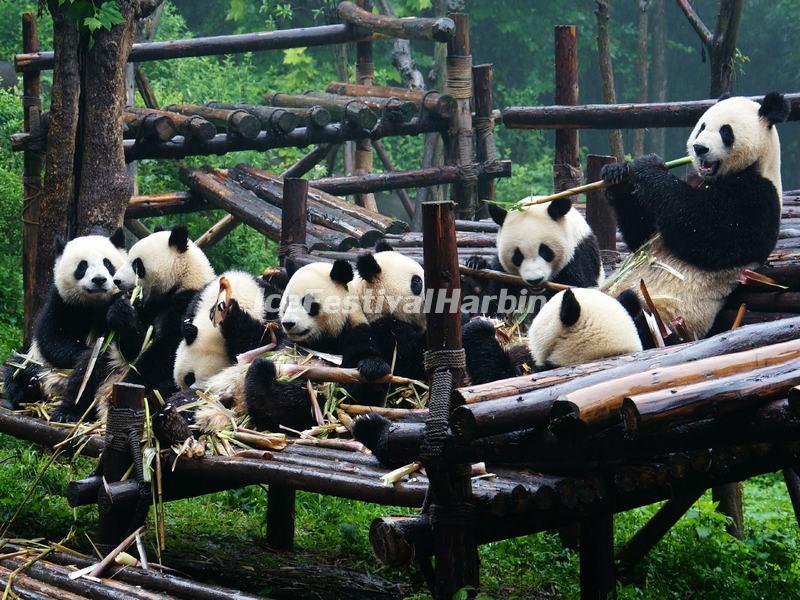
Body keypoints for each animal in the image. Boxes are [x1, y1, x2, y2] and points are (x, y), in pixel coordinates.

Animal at [3, 230, 127, 416]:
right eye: (82, 266)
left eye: (107, 263)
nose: (99, 280)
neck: (95, 303)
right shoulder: (61, 302)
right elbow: (52, 338)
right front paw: (79, 354)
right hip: (38, 363)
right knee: (17, 368)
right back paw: (30, 388)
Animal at [464, 198, 602, 316]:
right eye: (517, 256)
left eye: (545, 251)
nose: (535, 280)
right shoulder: (502, 270)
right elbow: (493, 298)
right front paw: (475, 266)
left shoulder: (579, 258)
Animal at [601, 92, 789, 340]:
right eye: (702, 126)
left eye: (725, 131)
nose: (700, 148)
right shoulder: (694, 179)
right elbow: (642, 235)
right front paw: (617, 174)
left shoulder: (758, 197)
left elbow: (705, 231)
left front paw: (649, 165)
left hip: (667, 319)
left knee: (633, 315)